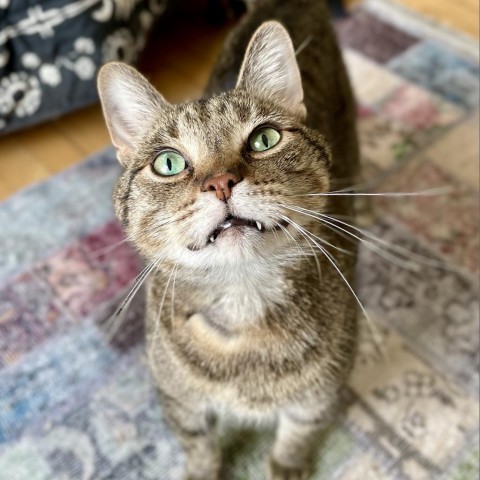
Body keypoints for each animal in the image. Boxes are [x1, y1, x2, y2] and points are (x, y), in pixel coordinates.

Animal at [98, 0, 360, 480]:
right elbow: (199, 445)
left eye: (264, 138)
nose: (220, 182)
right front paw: (204, 470)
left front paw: (288, 466)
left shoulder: (320, 398)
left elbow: (298, 435)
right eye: (168, 163)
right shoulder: (179, 401)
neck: (243, 303)